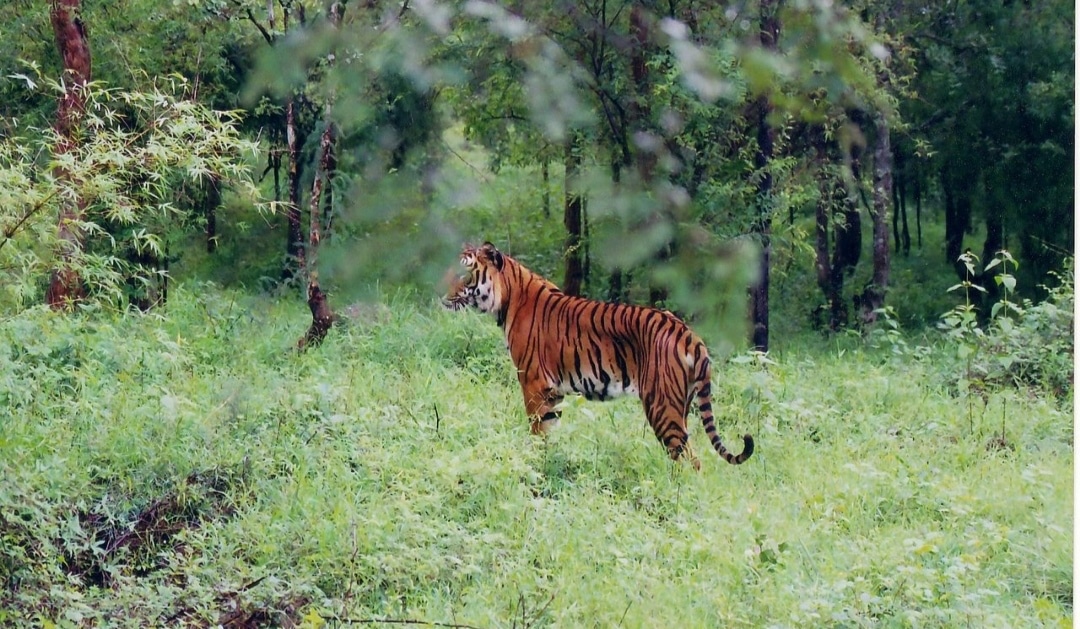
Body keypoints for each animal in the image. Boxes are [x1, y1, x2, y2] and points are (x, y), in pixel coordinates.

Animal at [442, 242, 753, 470]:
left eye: (465, 273)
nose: (441, 294)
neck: (507, 298)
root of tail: (688, 334)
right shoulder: (553, 392)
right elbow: (550, 430)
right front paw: (549, 463)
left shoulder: (533, 383)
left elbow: (537, 431)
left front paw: (533, 464)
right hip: (681, 404)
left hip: (662, 406)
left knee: (689, 459)